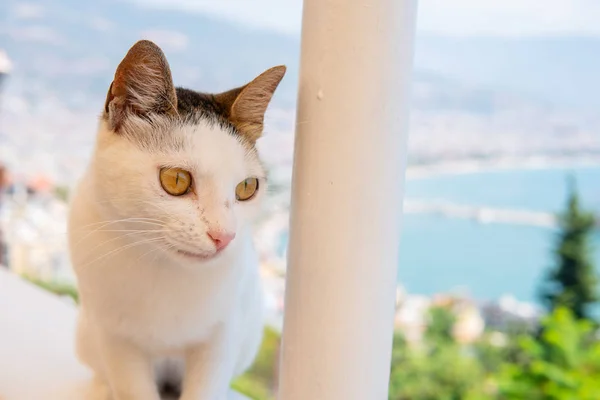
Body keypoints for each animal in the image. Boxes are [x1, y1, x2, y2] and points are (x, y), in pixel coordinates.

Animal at [67, 38, 286, 400]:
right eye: (176, 180)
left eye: (246, 188)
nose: (224, 236)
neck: (165, 269)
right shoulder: (115, 338)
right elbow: (132, 388)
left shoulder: (221, 338)